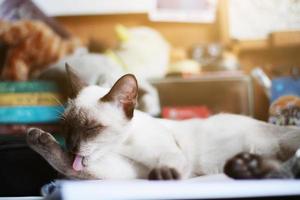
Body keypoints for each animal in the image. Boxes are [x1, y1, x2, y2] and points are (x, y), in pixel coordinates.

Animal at [25, 64, 300, 180]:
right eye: (66, 127)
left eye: (92, 128)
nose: (72, 146)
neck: (122, 146)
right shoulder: (127, 171)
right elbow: (70, 167)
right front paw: (38, 138)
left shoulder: (166, 154)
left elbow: (168, 163)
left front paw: (164, 175)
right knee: (280, 168)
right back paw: (245, 168)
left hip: (283, 144)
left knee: (289, 167)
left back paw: (247, 167)